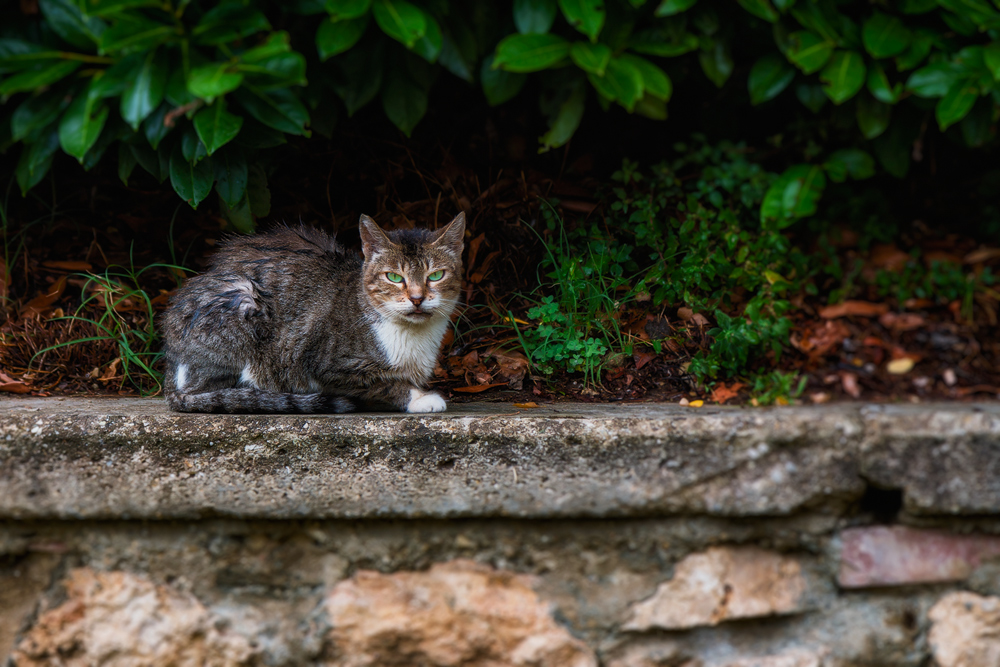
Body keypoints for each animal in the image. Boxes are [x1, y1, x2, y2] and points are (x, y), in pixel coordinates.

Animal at [160, 213, 464, 412]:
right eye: (394, 277)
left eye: (435, 275)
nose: (417, 298)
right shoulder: (325, 366)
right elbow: (381, 382)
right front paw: (421, 398)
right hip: (243, 301)